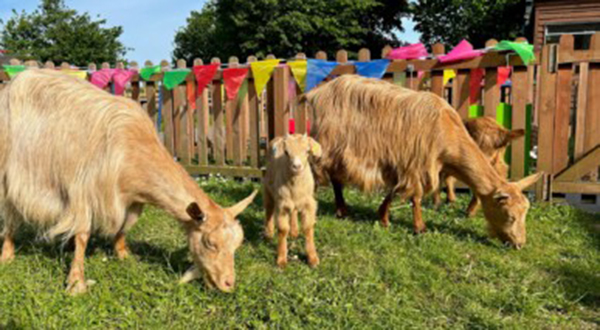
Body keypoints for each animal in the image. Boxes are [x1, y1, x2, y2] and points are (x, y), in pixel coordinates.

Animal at [0, 69, 256, 294]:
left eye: (237, 244)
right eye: (210, 243)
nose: (228, 284)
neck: (132, 146)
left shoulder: (130, 199)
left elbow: (124, 226)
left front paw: (124, 255)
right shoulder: (84, 190)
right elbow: (82, 235)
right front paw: (76, 282)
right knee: (10, 216)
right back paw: (6, 255)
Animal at [264, 134, 324, 268]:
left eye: (307, 151)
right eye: (286, 152)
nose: (297, 166)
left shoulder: (309, 204)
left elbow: (308, 228)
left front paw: (313, 258)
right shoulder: (281, 204)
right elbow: (282, 230)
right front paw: (281, 259)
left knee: (294, 211)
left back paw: (294, 231)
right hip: (267, 189)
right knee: (268, 209)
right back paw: (268, 233)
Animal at [308, 75, 540, 249]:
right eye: (510, 216)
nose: (519, 245)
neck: (446, 130)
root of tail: (318, 92)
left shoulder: (403, 164)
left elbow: (395, 190)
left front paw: (383, 217)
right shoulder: (417, 163)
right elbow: (416, 196)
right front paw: (419, 227)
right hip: (332, 144)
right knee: (326, 174)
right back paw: (335, 209)